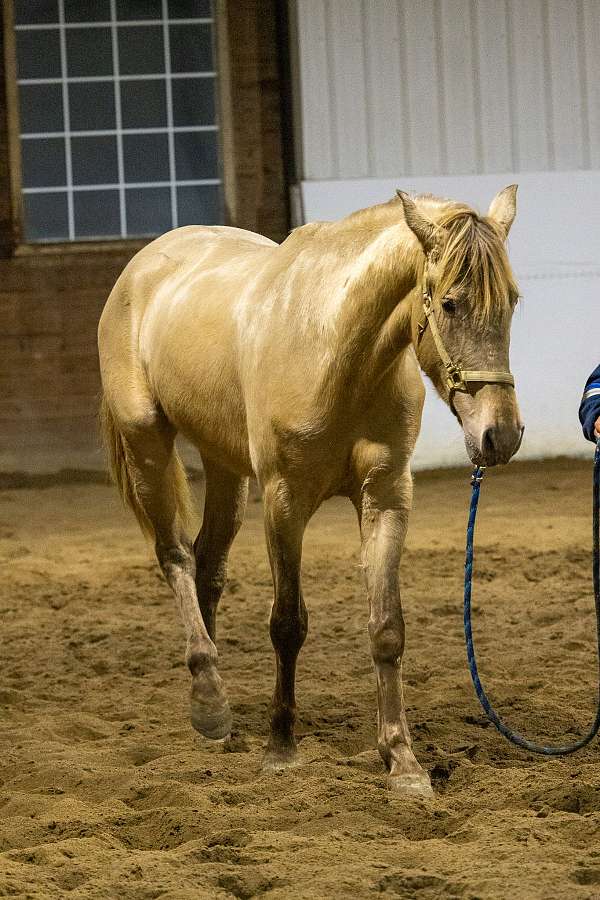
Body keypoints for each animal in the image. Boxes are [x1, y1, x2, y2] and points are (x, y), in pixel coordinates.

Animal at [97, 185, 520, 796]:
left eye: (512, 301)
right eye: (449, 304)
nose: (500, 435)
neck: (339, 353)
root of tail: (142, 266)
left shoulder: (386, 496)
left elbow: (387, 628)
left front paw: (402, 761)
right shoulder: (284, 500)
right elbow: (287, 624)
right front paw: (281, 748)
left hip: (226, 465)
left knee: (207, 565)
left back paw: (212, 704)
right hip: (147, 443)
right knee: (175, 555)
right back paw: (208, 699)